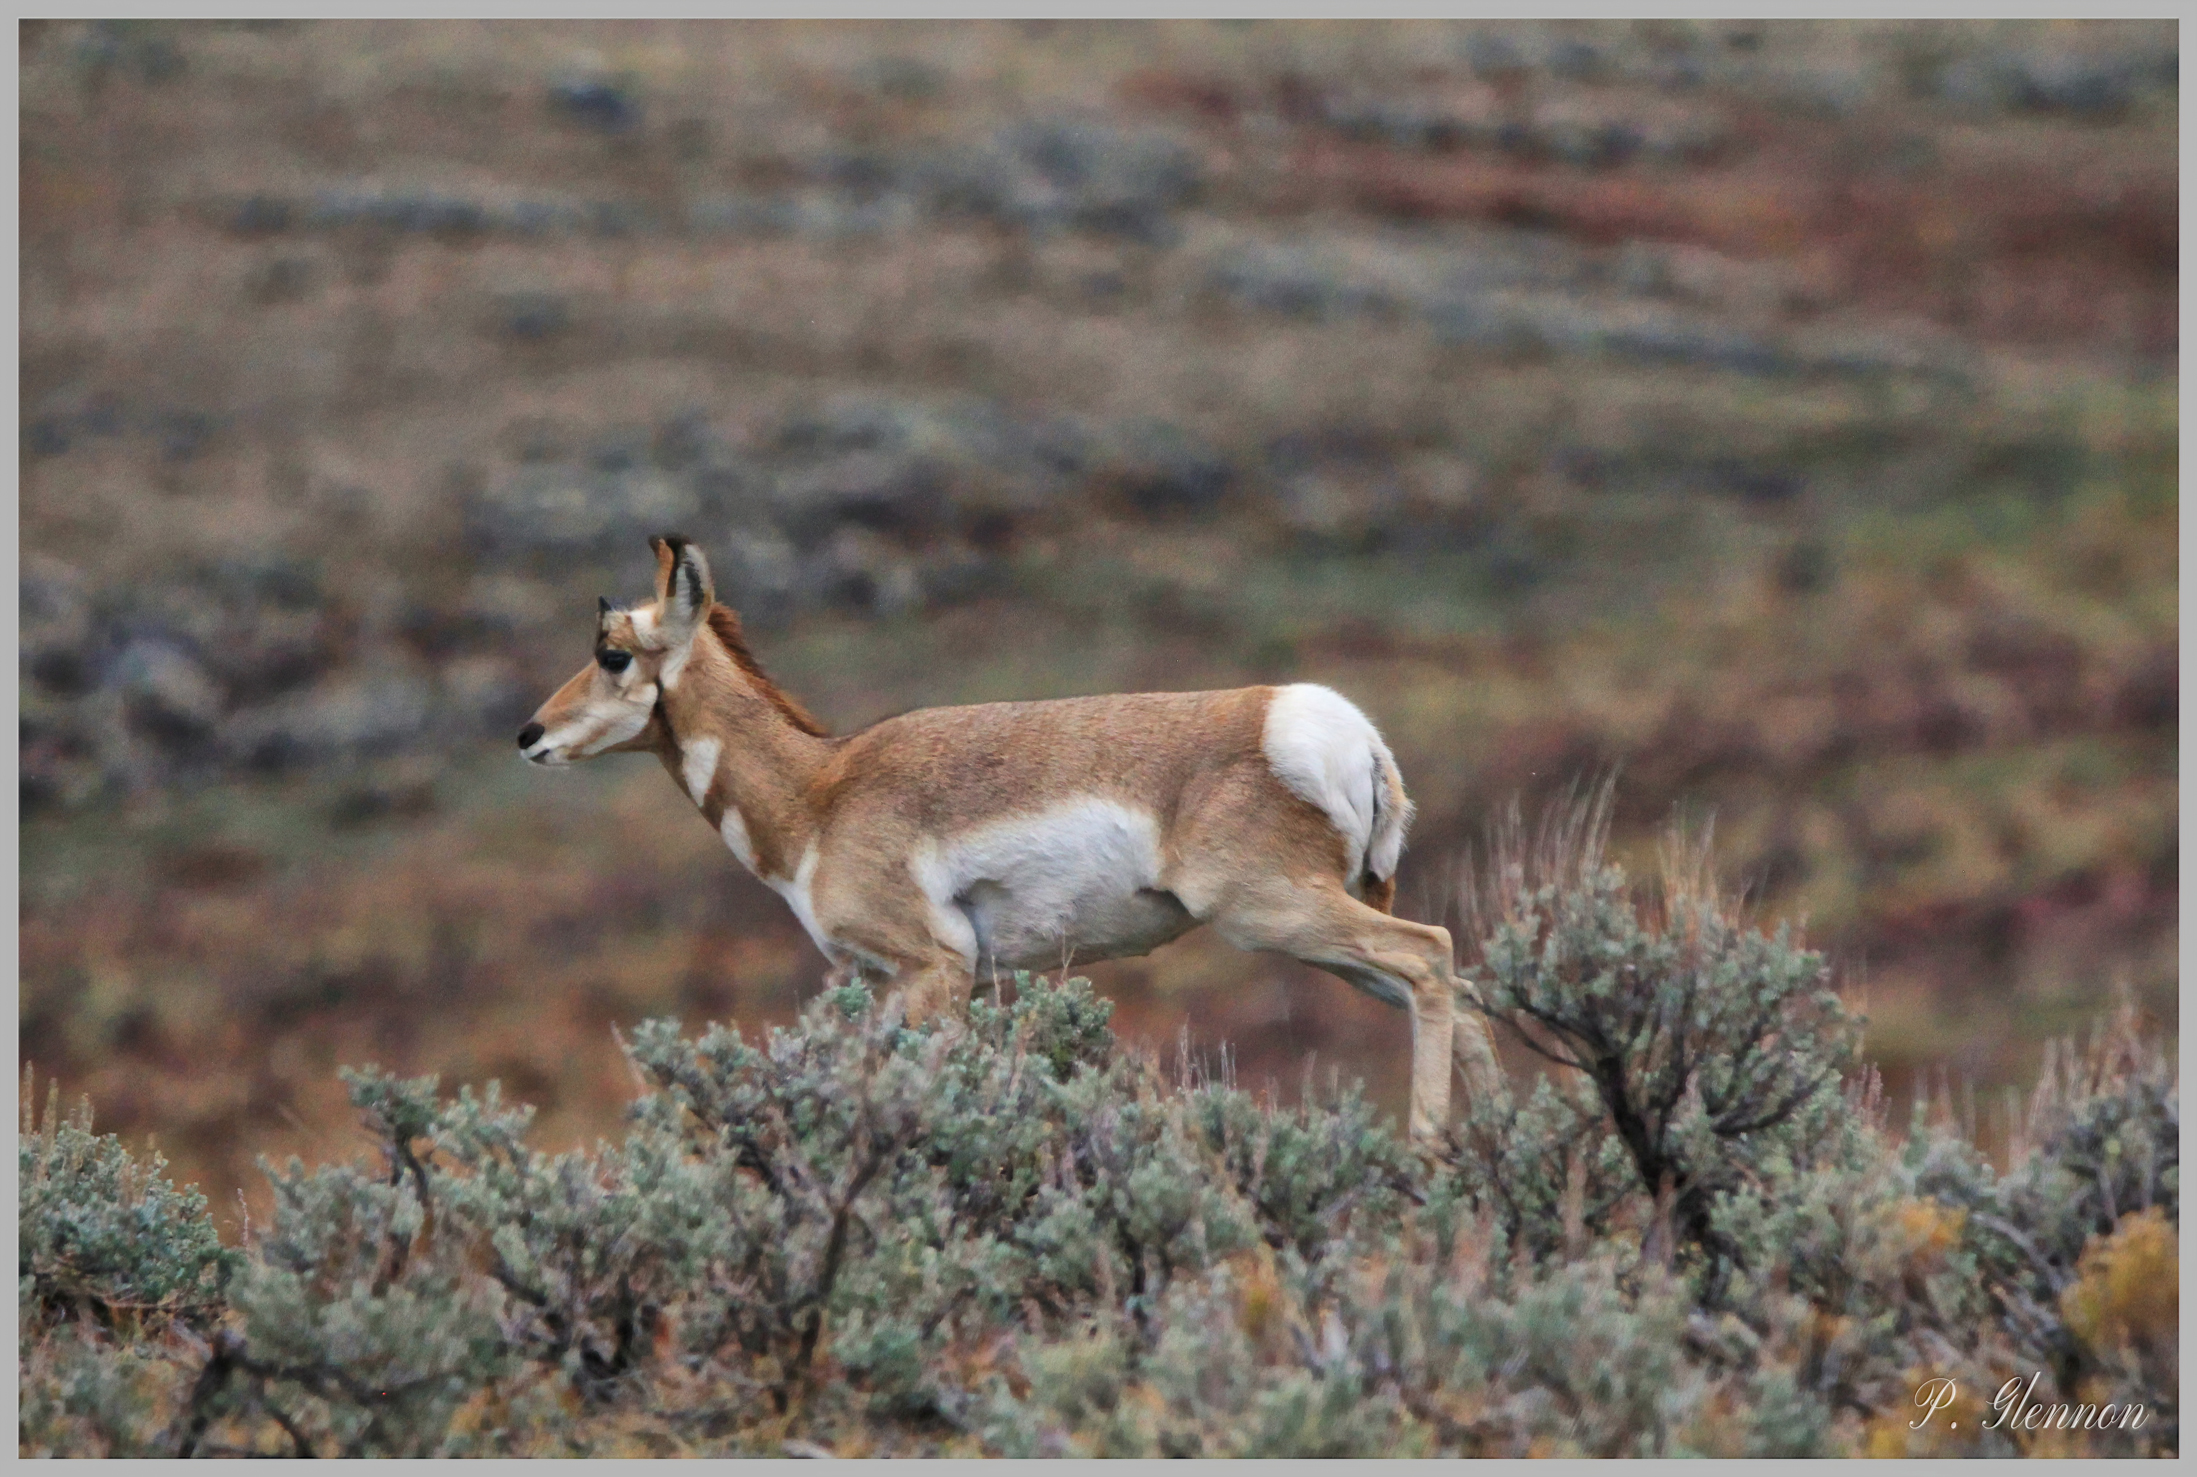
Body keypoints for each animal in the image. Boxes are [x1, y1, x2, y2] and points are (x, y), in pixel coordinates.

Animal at [522, 534, 1502, 1142]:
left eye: (612, 652)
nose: (527, 734)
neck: (822, 790)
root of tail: (1342, 730)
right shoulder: (899, 984)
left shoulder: (936, 970)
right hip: (1329, 939)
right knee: (1458, 994)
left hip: (1279, 915)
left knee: (1430, 953)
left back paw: (1429, 1152)